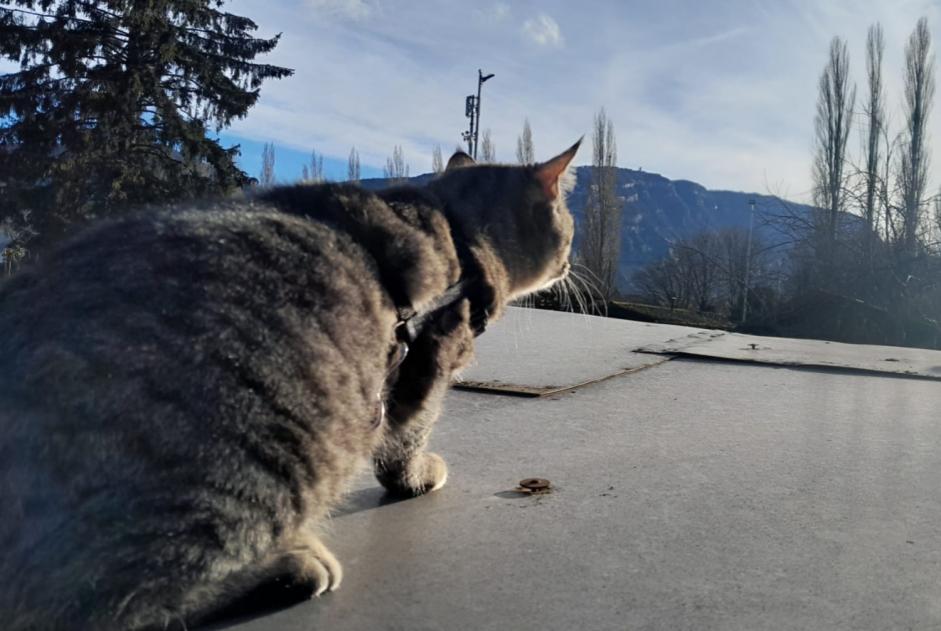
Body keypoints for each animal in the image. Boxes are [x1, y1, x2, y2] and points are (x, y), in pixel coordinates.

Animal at [0, 141, 580, 628]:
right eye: (571, 228)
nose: (572, 260)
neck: (458, 230)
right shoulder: (431, 362)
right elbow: (408, 440)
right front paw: (418, 476)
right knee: (103, 604)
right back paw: (294, 566)